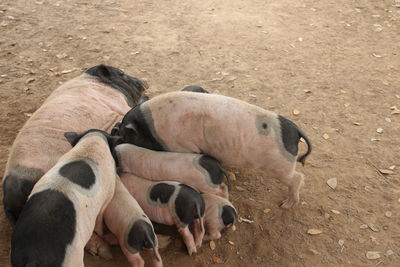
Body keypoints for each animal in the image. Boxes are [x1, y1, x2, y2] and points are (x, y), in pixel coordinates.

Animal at [10, 130, 120, 267]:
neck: (92, 142)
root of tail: (32, 258)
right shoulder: (108, 195)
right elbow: (99, 220)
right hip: (73, 259)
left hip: (16, 257)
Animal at [117, 92, 310, 209]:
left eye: (126, 136)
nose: (115, 134)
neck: (149, 128)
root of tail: (295, 130)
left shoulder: (182, 145)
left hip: (281, 166)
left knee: (298, 177)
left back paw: (286, 205)